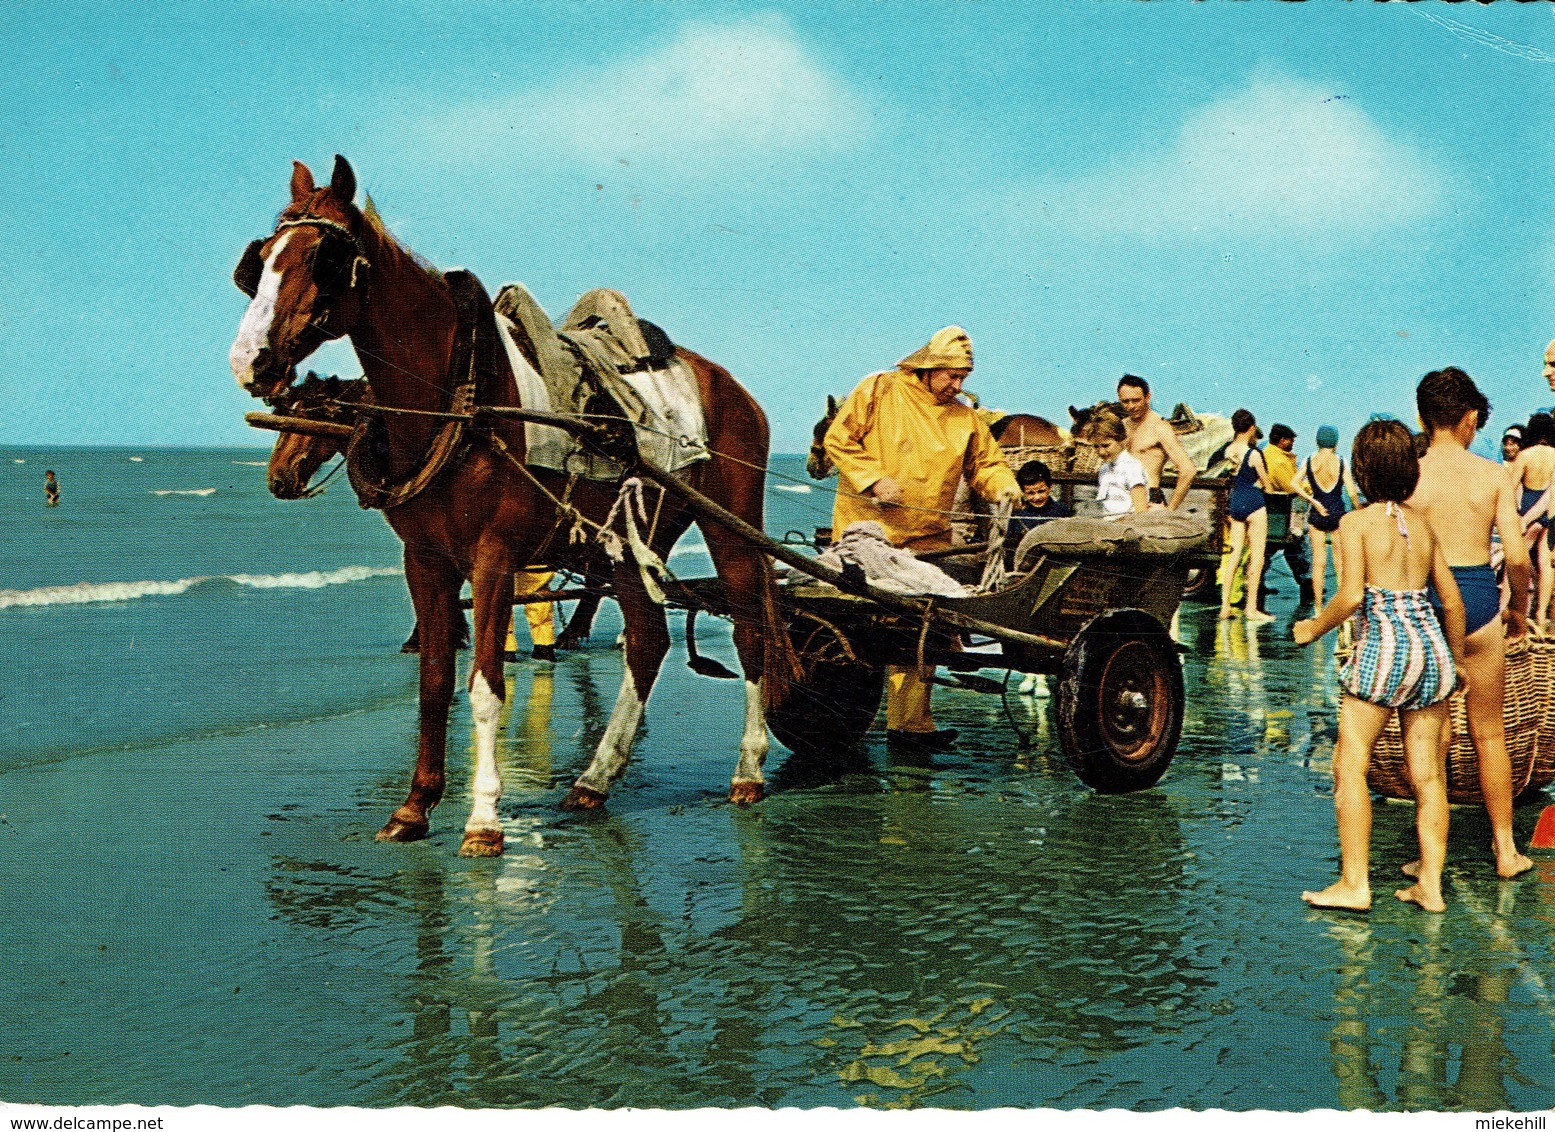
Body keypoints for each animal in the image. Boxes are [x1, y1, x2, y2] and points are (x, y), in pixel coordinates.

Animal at [227, 154, 789, 852]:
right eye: (259, 261)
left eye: (321, 257)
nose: (250, 360)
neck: (463, 395)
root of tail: (730, 385)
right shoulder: (426, 559)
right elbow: (436, 681)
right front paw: (415, 807)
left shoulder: (493, 557)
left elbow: (486, 686)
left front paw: (484, 817)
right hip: (632, 541)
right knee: (647, 641)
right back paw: (595, 779)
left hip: (730, 525)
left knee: (750, 631)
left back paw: (748, 768)